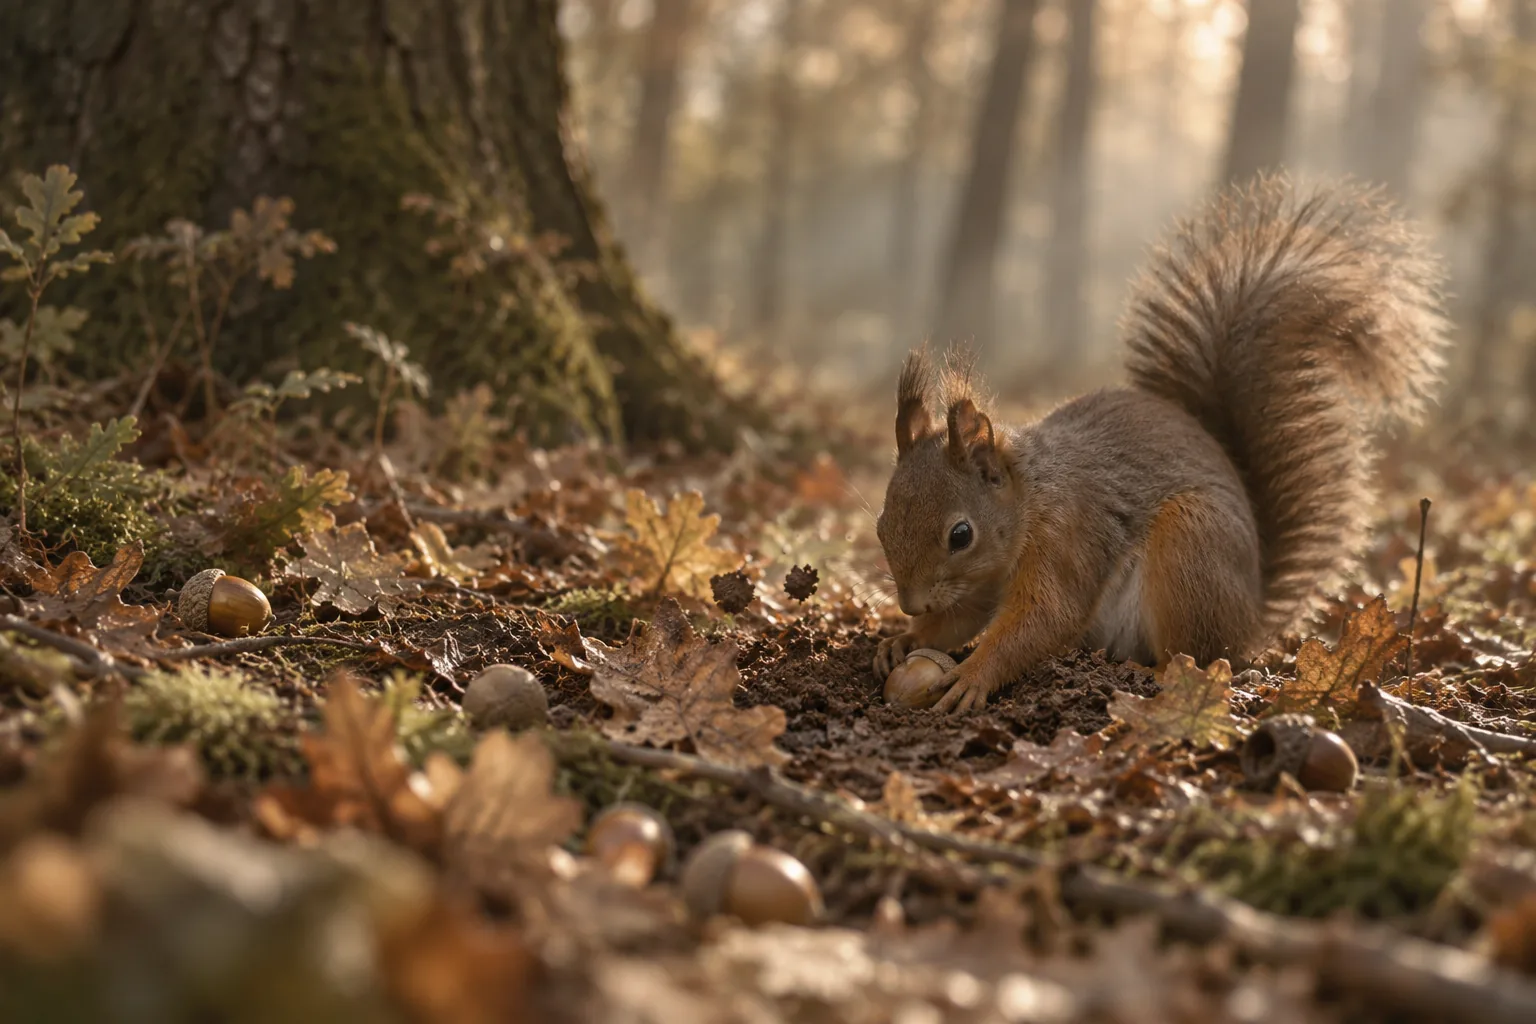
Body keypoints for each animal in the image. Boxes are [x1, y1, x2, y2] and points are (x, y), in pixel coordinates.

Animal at [873, 174, 1451, 713]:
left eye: (961, 535)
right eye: (880, 525)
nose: (911, 603)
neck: (1029, 500)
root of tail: (1253, 614)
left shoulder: (1069, 536)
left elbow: (1046, 618)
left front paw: (973, 675)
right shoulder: (979, 584)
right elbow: (962, 619)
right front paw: (904, 640)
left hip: (1190, 545)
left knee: (1195, 656)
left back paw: (1149, 675)